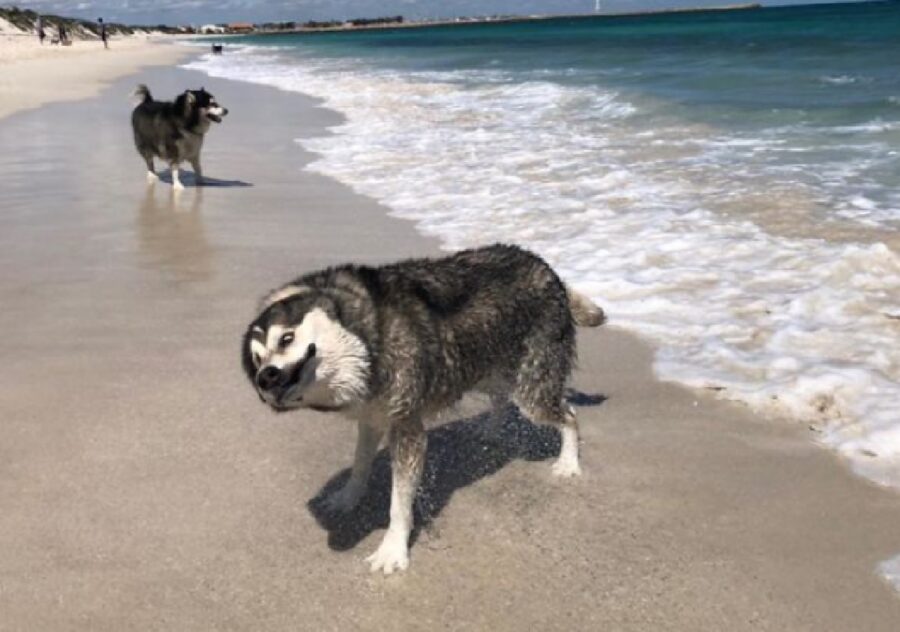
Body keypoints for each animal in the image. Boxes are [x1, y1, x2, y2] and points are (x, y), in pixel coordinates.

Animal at [241, 244, 604, 576]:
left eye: (286, 338)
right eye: (256, 359)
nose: (265, 377)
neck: (370, 333)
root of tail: (549, 270)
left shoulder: (406, 425)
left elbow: (399, 503)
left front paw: (392, 550)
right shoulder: (372, 416)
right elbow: (360, 463)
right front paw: (348, 498)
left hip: (531, 389)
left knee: (567, 414)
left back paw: (568, 462)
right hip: (484, 369)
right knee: (500, 396)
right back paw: (490, 431)